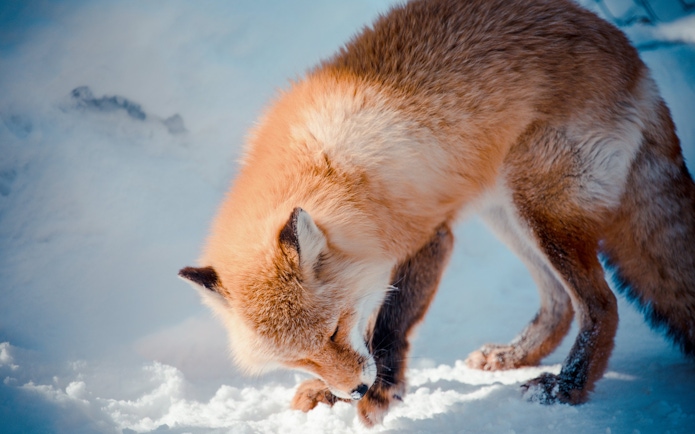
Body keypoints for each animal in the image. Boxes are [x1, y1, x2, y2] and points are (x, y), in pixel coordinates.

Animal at [179, 0, 695, 426]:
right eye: (300, 359)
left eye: (334, 330)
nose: (355, 389)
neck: (329, 172)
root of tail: (630, 53)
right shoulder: (375, 258)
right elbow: (372, 327)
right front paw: (334, 394)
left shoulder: (425, 237)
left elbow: (390, 325)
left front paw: (381, 391)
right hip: (508, 214)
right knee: (560, 304)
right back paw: (515, 356)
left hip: (541, 213)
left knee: (601, 306)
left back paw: (565, 388)